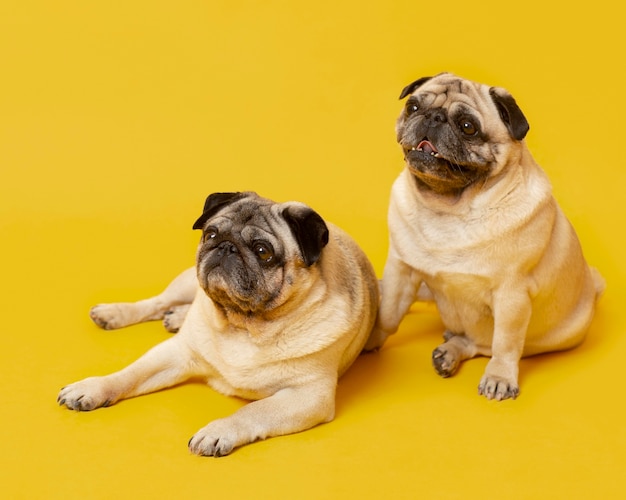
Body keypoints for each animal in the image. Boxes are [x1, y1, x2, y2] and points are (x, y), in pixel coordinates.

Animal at [58, 192, 378, 458]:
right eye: (211, 233)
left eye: (263, 251)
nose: (226, 246)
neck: (244, 325)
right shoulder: (176, 354)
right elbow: (129, 375)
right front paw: (93, 387)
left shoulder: (308, 395)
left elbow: (254, 411)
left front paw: (218, 431)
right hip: (185, 282)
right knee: (157, 302)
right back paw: (114, 313)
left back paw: (175, 317)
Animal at [364, 74, 604, 400]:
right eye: (413, 106)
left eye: (468, 126)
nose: (433, 117)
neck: (448, 208)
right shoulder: (401, 271)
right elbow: (388, 314)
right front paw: (370, 340)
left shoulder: (511, 295)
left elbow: (505, 343)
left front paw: (500, 377)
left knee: (481, 345)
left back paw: (452, 353)